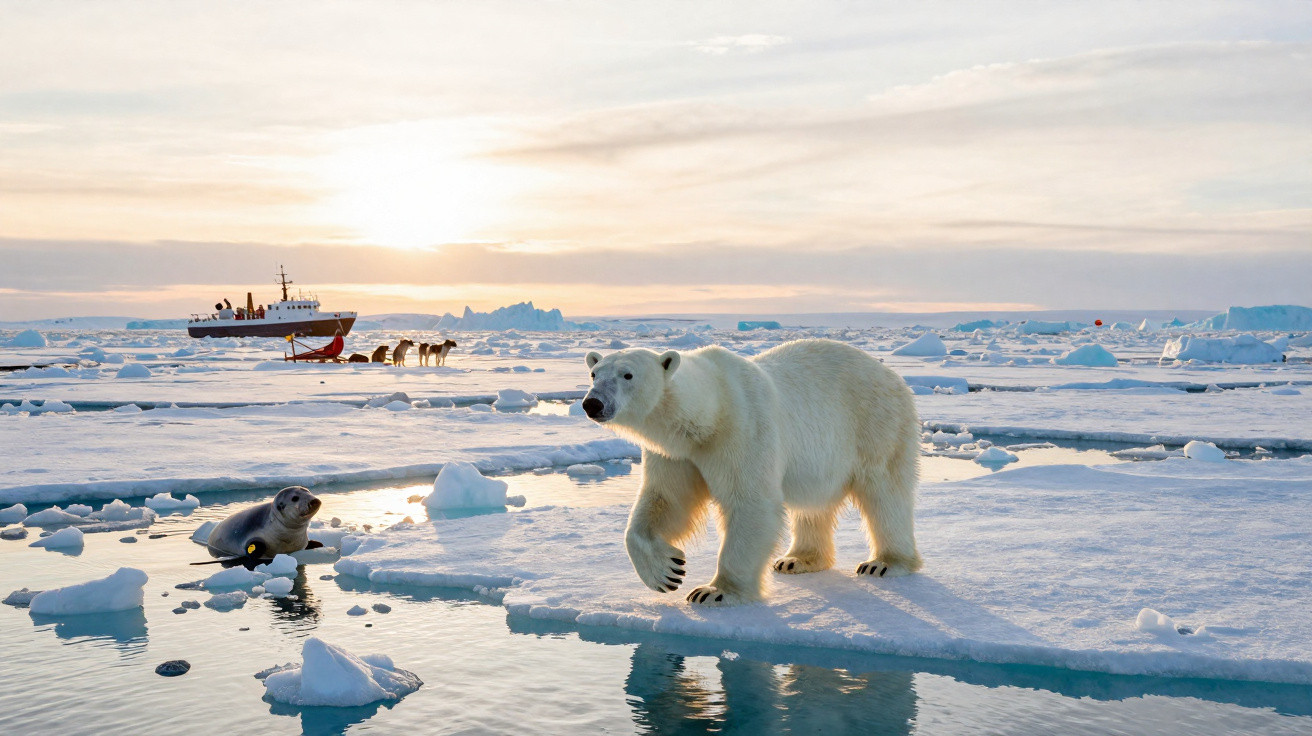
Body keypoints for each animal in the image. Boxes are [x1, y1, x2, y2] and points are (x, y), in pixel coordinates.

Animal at [583, 339, 921, 606]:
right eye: (594, 373)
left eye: (627, 374)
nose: (592, 403)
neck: (708, 414)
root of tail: (892, 374)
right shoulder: (676, 453)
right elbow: (667, 500)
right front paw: (667, 571)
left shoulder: (743, 430)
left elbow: (750, 503)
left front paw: (715, 592)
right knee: (814, 504)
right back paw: (797, 559)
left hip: (877, 423)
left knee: (885, 492)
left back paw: (884, 564)